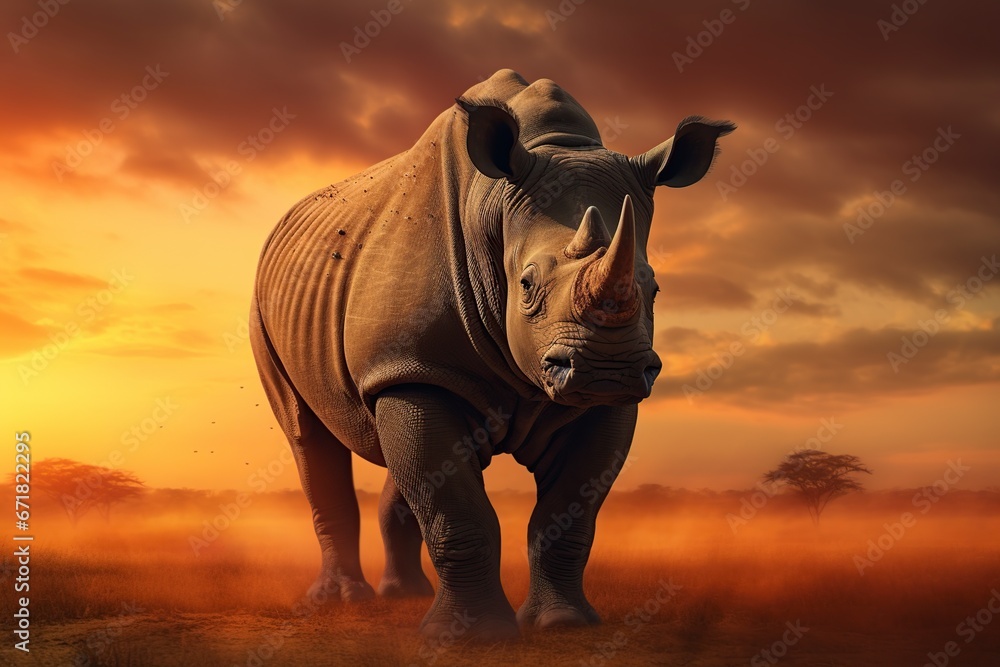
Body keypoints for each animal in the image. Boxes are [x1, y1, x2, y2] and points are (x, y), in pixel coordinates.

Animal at [250, 69, 734, 640]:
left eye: (654, 289)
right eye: (526, 285)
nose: (606, 370)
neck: (494, 205)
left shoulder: (595, 401)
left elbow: (565, 517)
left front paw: (564, 624)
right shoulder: (417, 367)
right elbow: (457, 510)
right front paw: (471, 637)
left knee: (397, 446)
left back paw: (405, 596)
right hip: (269, 312)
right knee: (309, 436)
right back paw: (345, 601)